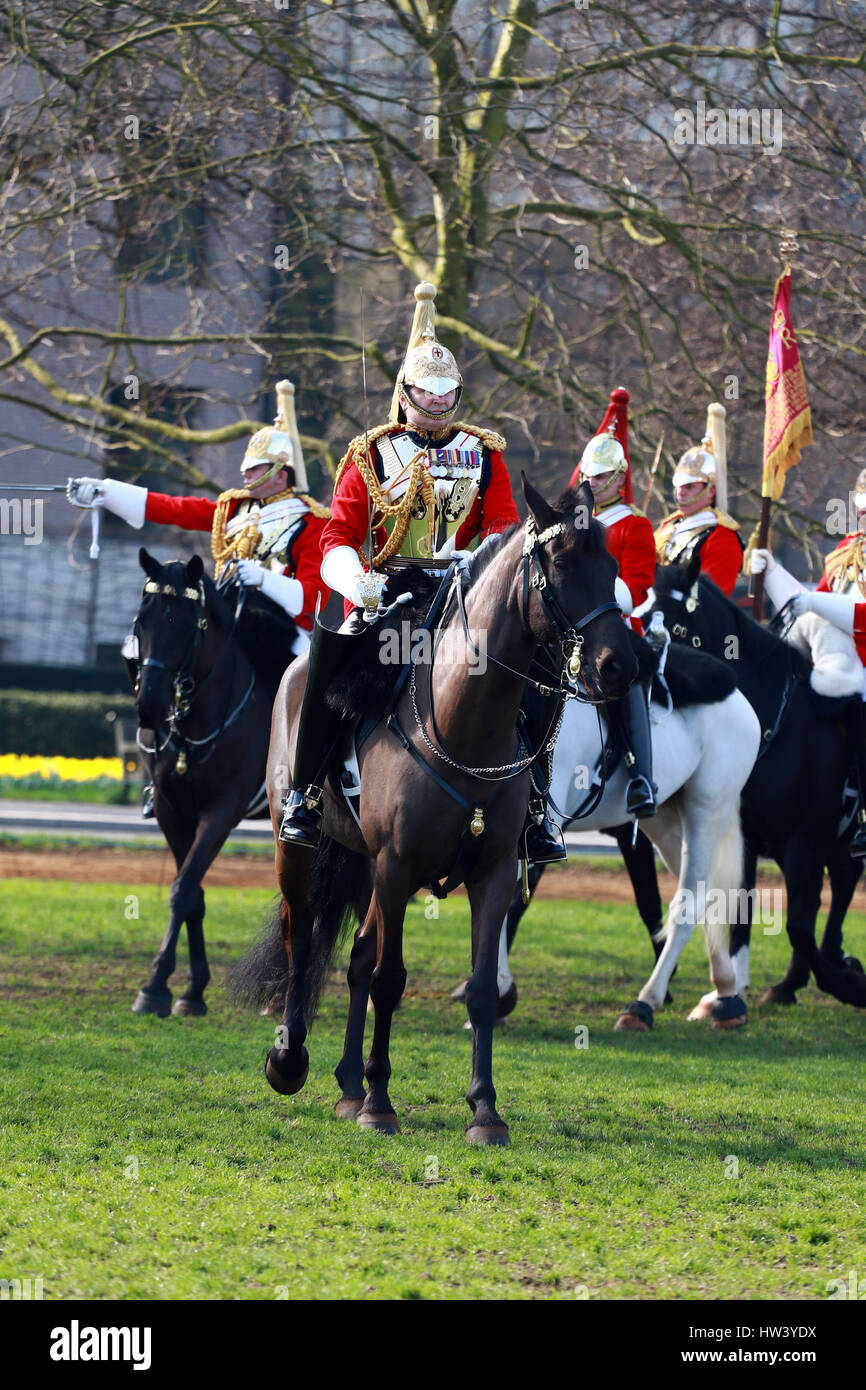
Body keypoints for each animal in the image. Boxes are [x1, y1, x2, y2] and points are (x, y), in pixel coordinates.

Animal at [132, 547, 300, 1017]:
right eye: (142, 617)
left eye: (188, 623)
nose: (148, 706)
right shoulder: (171, 810)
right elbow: (192, 895)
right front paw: (191, 989)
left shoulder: (221, 811)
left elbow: (183, 887)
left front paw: (155, 986)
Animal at [233, 483, 639, 1145]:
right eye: (559, 564)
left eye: (610, 565)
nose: (618, 666)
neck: (463, 725)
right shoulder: (398, 866)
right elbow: (389, 979)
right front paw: (380, 1104)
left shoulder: (492, 873)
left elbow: (478, 991)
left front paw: (484, 1110)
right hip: (301, 848)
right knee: (304, 936)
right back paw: (292, 1062)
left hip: (369, 868)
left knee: (356, 954)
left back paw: (349, 1084)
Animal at [497, 658, 761, 1034]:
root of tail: (738, 698)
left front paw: (496, 993)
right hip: (665, 820)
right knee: (707, 894)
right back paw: (725, 994)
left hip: (708, 808)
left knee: (688, 905)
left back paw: (645, 1003)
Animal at [653, 556, 861, 1011]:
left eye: (667, 623)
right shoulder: (748, 837)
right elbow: (742, 907)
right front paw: (731, 991)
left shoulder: (804, 841)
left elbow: (798, 924)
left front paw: (845, 983)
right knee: (841, 886)